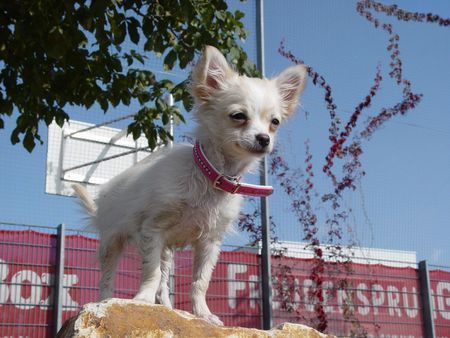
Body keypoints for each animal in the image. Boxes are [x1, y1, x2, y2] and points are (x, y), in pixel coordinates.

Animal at [73, 45, 306, 324]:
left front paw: (203, 314)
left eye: (275, 123)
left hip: (166, 251)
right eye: (238, 116)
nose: (264, 139)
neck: (211, 177)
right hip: (112, 241)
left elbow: (199, 282)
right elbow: (150, 273)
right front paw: (142, 301)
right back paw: (105, 301)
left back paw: (167, 308)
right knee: (108, 277)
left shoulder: (209, 243)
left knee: (164, 282)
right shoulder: (152, 229)